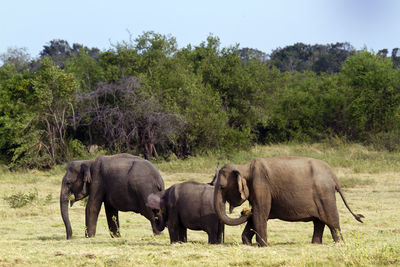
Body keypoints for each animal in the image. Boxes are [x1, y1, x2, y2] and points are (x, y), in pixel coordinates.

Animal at [214, 157, 364, 247]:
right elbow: (256, 214)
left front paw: (264, 246)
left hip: (325, 195)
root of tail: (333, 176)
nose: (243, 211)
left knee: (332, 221)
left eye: (222, 187)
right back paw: (315, 244)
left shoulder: (261, 186)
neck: (244, 167)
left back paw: (339, 244)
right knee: (319, 222)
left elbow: (260, 214)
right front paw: (247, 243)